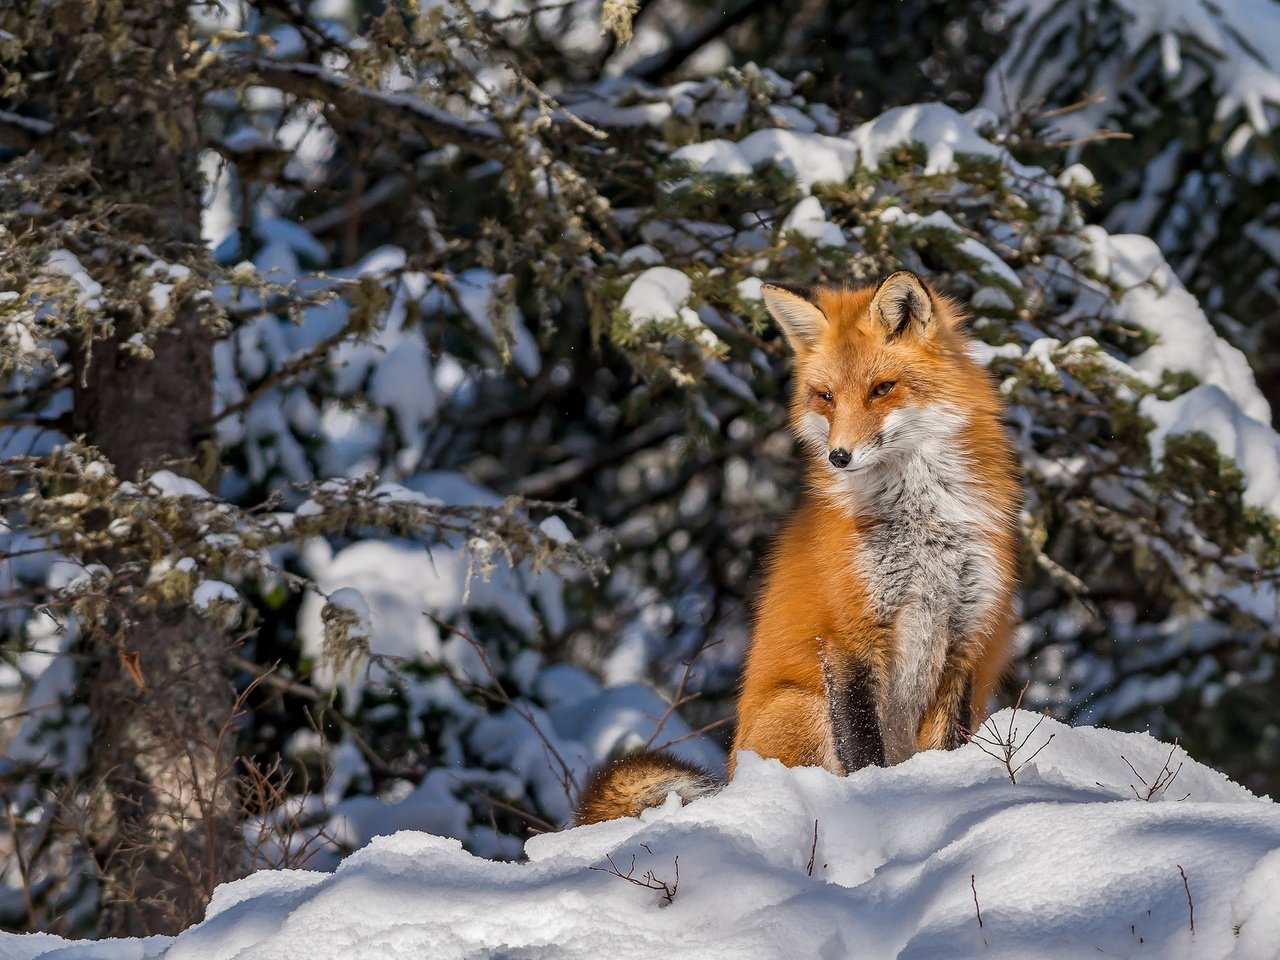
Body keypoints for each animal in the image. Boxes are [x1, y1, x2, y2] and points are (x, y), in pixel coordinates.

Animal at [581, 272, 1018, 829]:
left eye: (882, 389)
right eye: (826, 396)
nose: (839, 456)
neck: (920, 525)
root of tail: (733, 775)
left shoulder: (966, 638)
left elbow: (948, 746)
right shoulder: (848, 634)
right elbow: (862, 748)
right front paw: (879, 804)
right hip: (802, 704)